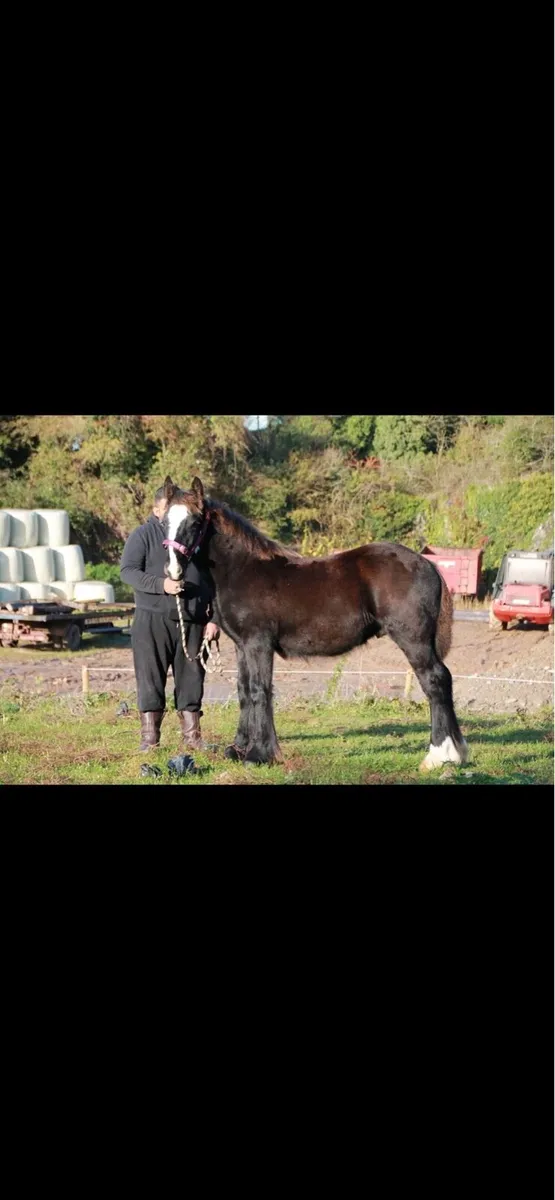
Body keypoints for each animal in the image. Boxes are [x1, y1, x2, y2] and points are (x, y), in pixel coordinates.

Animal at [161, 475, 468, 771]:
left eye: (195, 521)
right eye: (164, 522)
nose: (173, 570)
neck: (242, 568)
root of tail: (428, 565)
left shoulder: (258, 644)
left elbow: (260, 690)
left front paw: (260, 754)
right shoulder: (241, 645)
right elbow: (244, 691)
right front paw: (239, 749)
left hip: (413, 639)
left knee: (434, 680)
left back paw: (440, 755)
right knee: (443, 679)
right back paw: (456, 751)